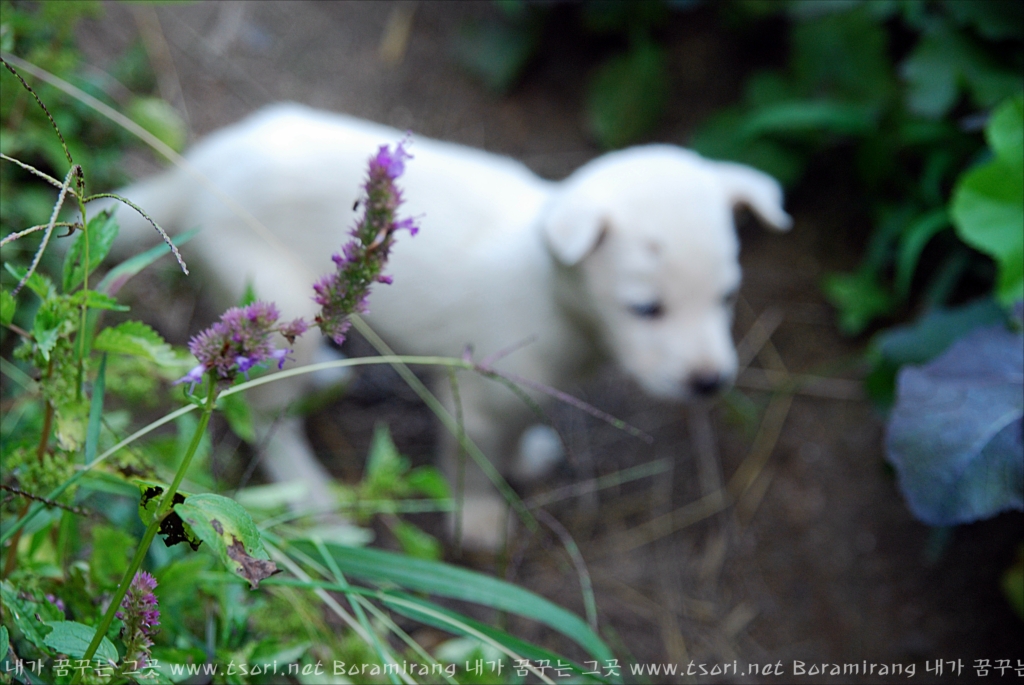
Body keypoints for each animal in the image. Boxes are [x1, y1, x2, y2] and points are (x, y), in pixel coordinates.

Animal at [110, 104, 790, 548]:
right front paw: (479, 519)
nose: (709, 382)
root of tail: (202, 164)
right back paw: (317, 503)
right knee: (266, 420)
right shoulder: (479, 401)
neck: (548, 284)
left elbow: (517, 438)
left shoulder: (519, 392)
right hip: (269, 303)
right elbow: (475, 465)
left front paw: (529, 457)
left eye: (727, 295)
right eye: (646, 308)